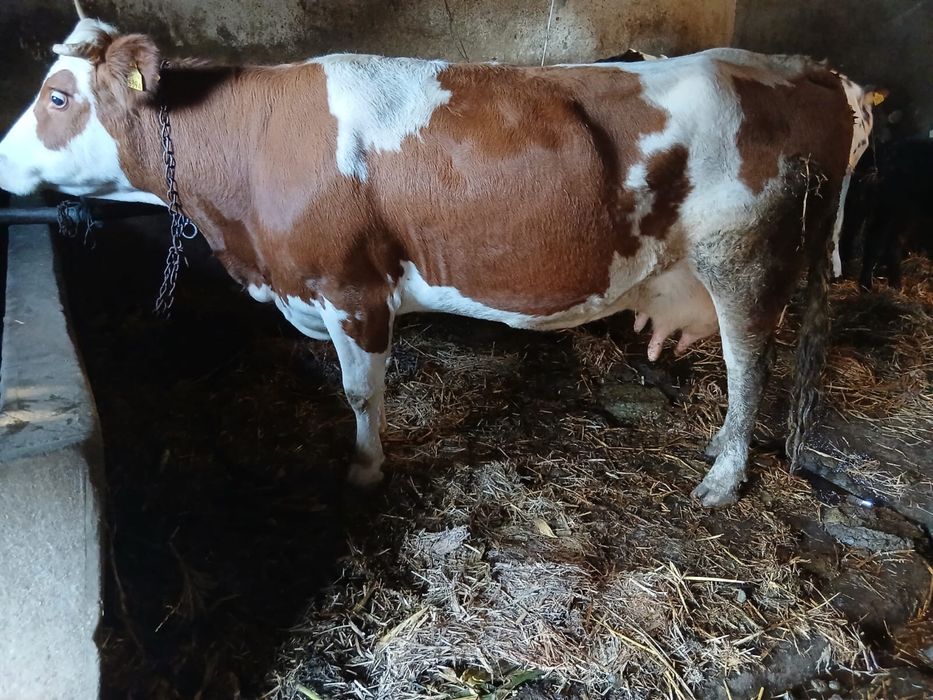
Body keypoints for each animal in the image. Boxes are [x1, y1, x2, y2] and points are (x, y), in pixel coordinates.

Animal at [0, 7, 880, 506]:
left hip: (743, 260)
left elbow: (361, 393)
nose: (1, 162)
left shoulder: (352, 288)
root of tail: (792, 66)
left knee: (747, 369)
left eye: (58, 96)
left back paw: (722, 479)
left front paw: (363, 472)